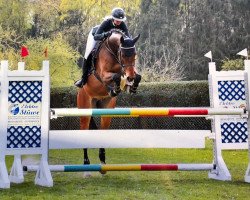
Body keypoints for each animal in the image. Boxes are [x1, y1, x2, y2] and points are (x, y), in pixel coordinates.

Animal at [76, 29, 141, 177]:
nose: (130, 77)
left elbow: (137, 76)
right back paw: (86, 167)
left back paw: (103, 164)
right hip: (85, 108)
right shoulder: (104, 74)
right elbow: (115, 76)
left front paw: (132, 86)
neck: (113, 50)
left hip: (106, 109)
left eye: (134, 55)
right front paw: (117, 88)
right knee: (84, 130)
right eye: (123, 55)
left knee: (103, 130)